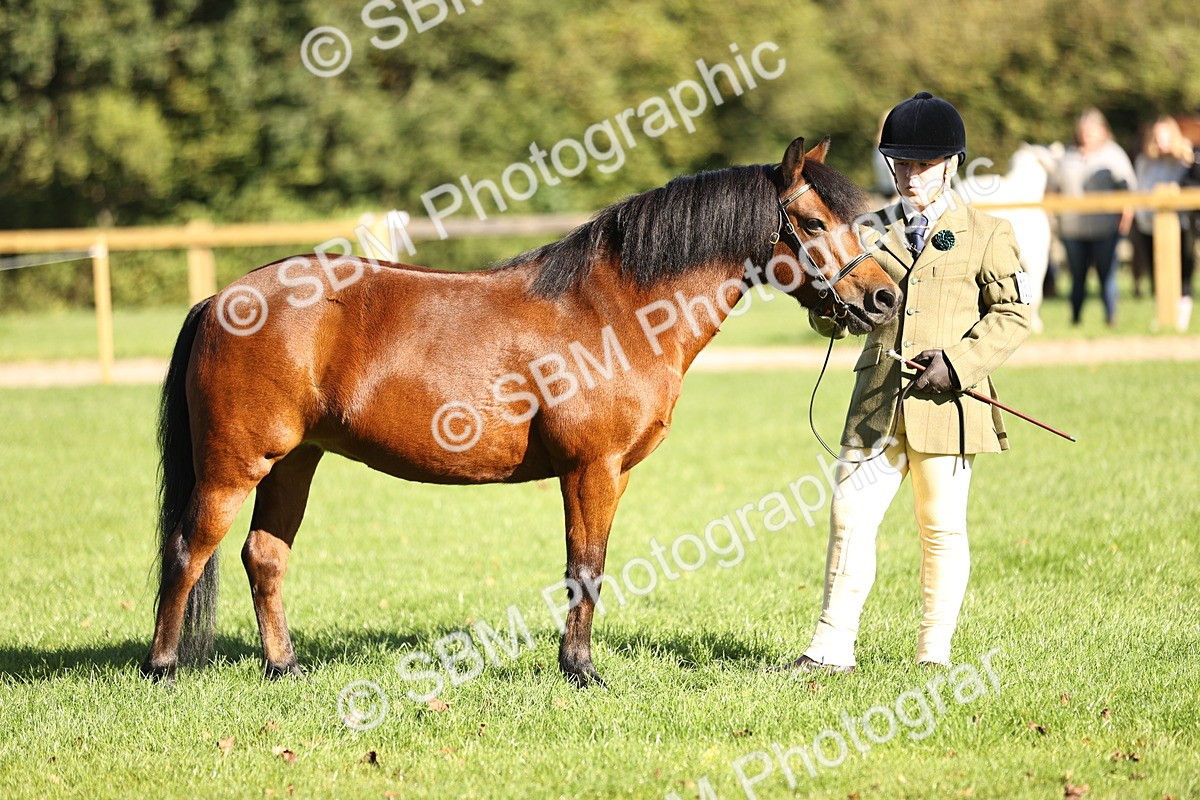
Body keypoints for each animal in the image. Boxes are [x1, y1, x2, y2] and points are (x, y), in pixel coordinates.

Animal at [140, 137, 902, 688]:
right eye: (812, 222)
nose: (884, 298)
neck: (616, 310)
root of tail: (224, 298)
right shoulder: (591, 468)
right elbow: (585, 568)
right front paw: (583, 672)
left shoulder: (615, 472)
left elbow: (590, 566)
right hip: (235, 465)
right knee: (188, 549)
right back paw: (164, 668)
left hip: (294, 460)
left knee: (264, 556)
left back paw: (285, 667)